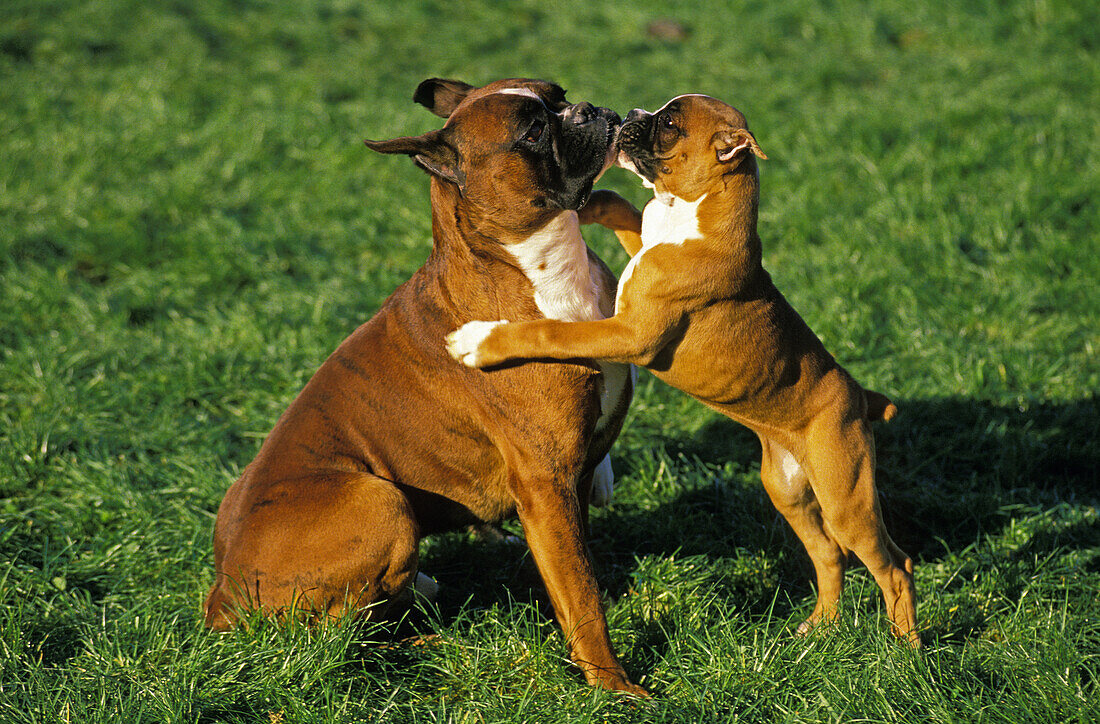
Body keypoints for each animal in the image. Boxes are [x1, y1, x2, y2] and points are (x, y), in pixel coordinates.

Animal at [204, 79, 642, 695]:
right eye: (533, 130)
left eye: (558, 94)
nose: (587, 109)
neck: (533, 266)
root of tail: (222, 593)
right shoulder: (546, 482)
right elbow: (582, 599)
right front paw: (614, 685)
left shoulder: (570, 477)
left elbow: (580, 568)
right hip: (377, 498)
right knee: (336, 636)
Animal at [446, 94, 919, 642]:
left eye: (669, 124)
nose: (631, 114)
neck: (691, 211)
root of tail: (861, 396)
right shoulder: (640, 257)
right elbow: (624, 209)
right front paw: (588, 200)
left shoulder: (629, 333)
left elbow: (550, 332)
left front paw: (480, 341)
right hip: (788, 491)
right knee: (828, 554)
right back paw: (819, 627)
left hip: (846, 498)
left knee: (894, 565)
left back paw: (907, 647)